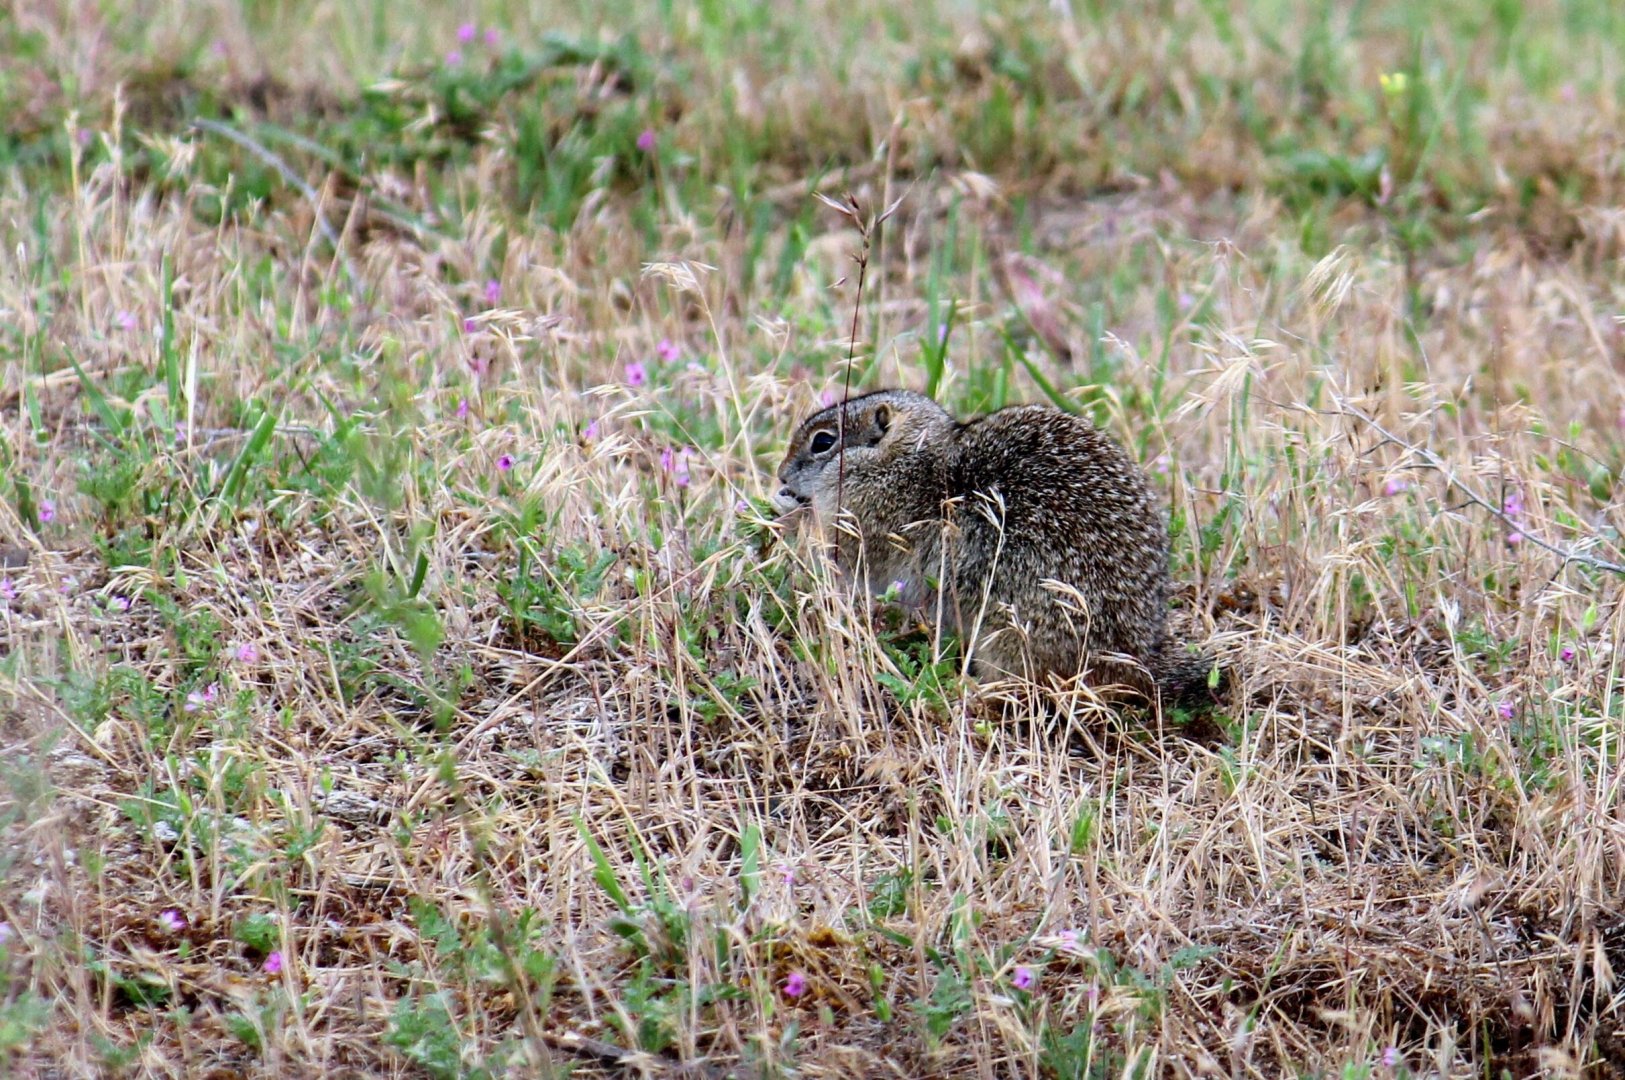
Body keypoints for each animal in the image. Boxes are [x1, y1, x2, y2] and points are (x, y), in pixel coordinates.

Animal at [773, 389, 1221, 706]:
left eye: (823, 441)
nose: (780, 474)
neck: (906, 458)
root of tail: (1136, 654)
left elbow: (851, 557)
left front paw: (790, 511)